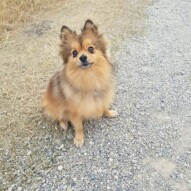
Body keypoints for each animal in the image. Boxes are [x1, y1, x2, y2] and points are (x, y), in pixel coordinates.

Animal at [42, 19, 117, 147]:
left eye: (91, 49)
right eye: (74, 53)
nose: (82, 57)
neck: (89, 77)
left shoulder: (101, 97)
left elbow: (103, 107)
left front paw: (109, 113)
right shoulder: (74, 111)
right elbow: (78, 126)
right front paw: (79, 139)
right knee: (59, 115)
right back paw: (63, 123)